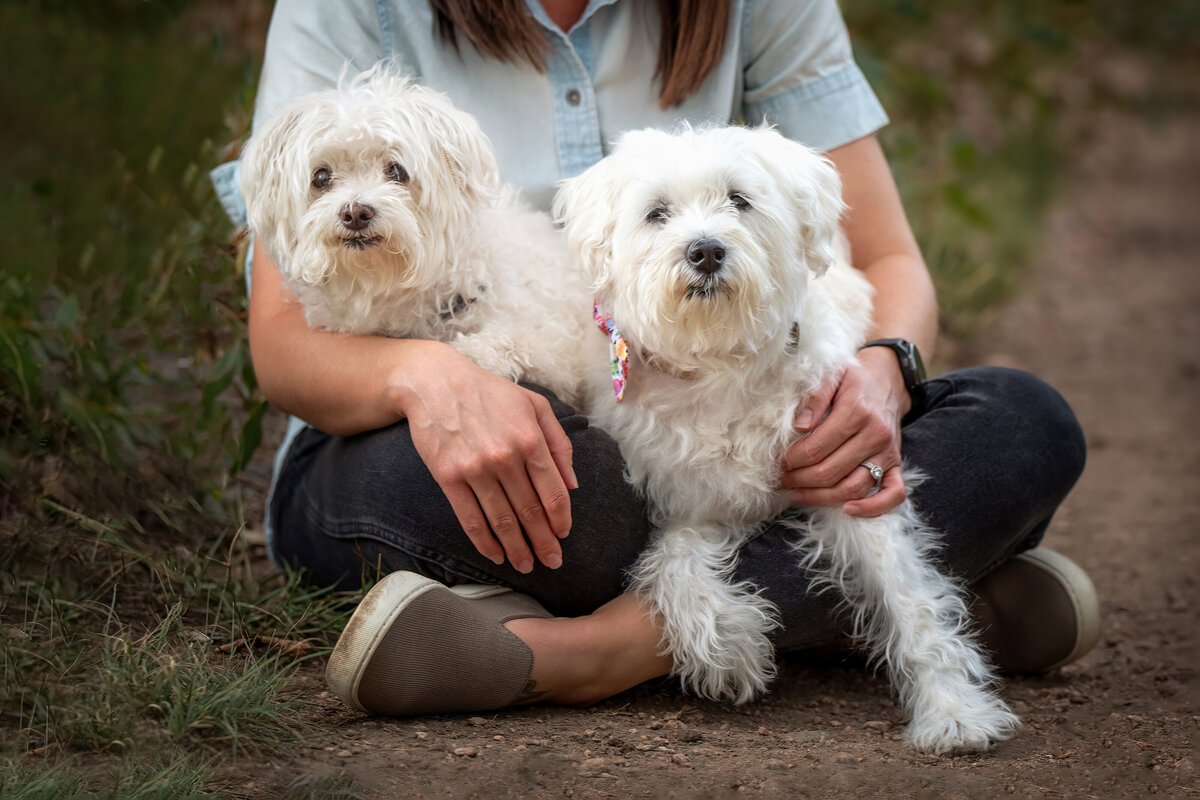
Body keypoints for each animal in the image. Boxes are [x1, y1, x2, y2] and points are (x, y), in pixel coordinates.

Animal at [242, 66, 595, 407]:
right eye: (321, 177)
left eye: (396, 171)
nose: (355, 213)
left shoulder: (559, 344)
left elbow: (520, 342)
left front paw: (476, 352)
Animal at [552, 123, 1022, 753]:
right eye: (656, 213)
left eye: (739, 200)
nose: (705, 251)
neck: (722, 365)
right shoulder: (691, 509)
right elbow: (674, 566)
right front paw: (730, 648)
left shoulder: (853, 479)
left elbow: (911, 601)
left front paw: (954, 710)